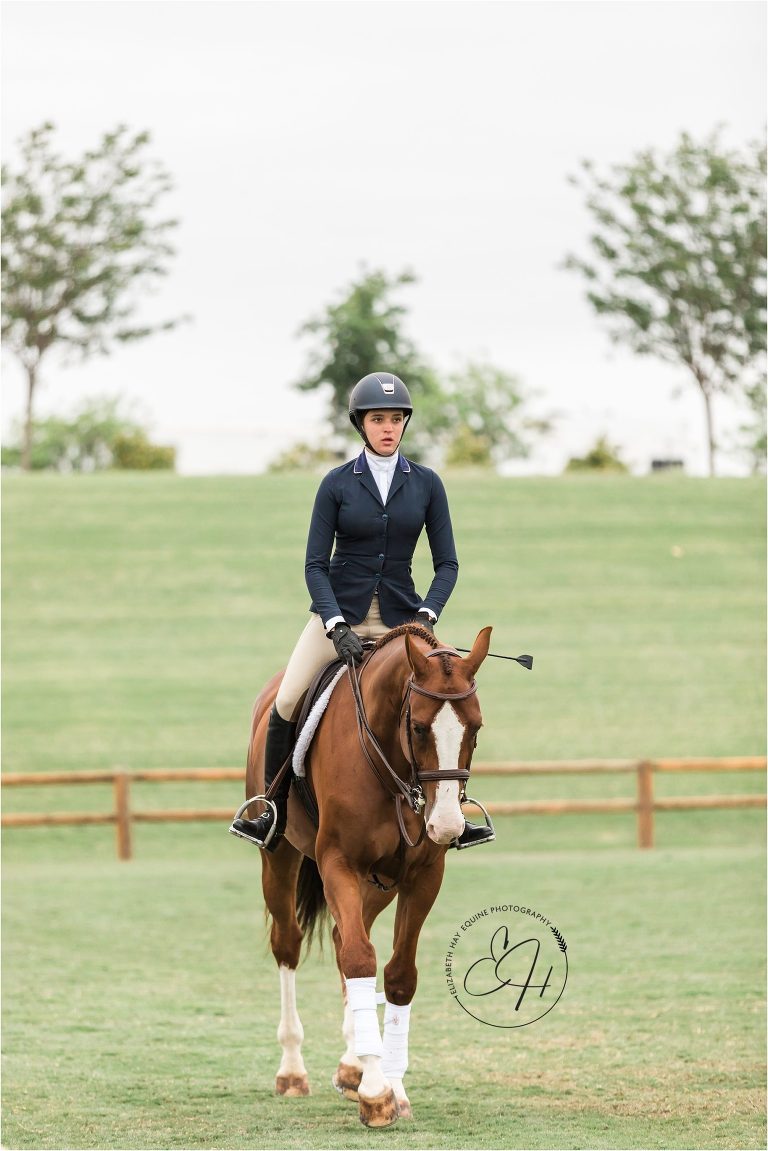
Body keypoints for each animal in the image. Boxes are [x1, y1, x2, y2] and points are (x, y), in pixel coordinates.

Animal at [240, 622, 492, 1128]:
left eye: (475, 728)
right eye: (418, 727)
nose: (447, 825)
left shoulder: (422, 875)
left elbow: (397, 974)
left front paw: (391, 1087)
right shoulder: (339, 864)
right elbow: (360, 960)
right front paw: (377, 1095)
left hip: (379, 884)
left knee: (343, 939)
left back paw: (353, 1065)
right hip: (281, 858)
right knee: (289, 944)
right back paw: (293, 1071)